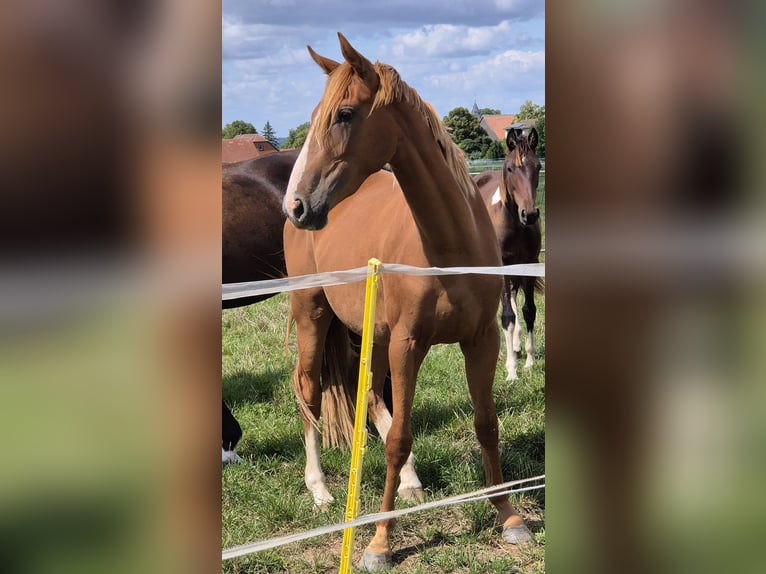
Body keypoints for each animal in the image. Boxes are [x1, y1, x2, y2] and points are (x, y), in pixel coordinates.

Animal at [282, 35, 536, 572]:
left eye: (345, 114)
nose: (296, 205)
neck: (448, 246)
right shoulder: (408, 344)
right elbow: (398, 438)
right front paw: (379, 542)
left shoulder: (480, 342)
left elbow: (486, 424)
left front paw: (509, 516)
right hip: (313, 315)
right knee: (309, 390)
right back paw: (320, 490)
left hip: (372, 335)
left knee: (371, 396)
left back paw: (411, 482)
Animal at [474, 130, 544, 382]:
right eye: (511, 169)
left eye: (537, 166)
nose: (530, 214)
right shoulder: (502, 265)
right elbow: (506, 316)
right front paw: (512, 370)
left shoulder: (530, 262)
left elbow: (528, 311)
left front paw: (530, 361)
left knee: (514, 297)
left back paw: (516, 346)